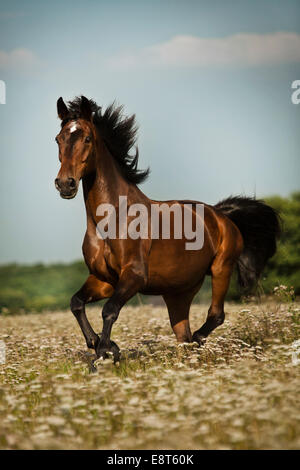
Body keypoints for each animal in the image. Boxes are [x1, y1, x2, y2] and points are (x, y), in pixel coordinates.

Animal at [54, 94, 282, 360]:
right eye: (58, 139)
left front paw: (106, 351)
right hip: (177, 293)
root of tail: (221, 216)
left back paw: (199, 340)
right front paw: (97, 342)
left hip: (221, 270)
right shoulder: (103, 279)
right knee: (183, 333)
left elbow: (109, 310)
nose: (65, 184)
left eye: (87, 139)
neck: (112, 221)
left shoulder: (134, 276)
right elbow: (76, 303)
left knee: (215, 316)